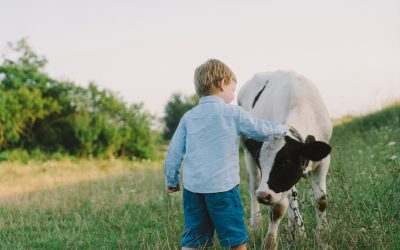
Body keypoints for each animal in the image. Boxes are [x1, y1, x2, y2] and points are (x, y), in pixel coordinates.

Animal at [236, 71, 332, 250]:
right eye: (261, 163)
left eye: (286, 162)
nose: (263, 196)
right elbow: (278, 208)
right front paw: (270, 243)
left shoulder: (324, 159)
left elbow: (320, 199)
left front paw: (322, 234)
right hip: (246, 149)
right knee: (253, 185)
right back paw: (256, 224)